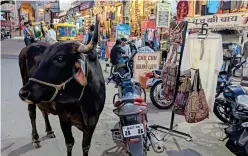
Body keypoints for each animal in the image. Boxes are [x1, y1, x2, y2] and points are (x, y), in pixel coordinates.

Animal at [18, 18, 105, 156]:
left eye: (60, 58)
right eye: (42, 59)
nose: (22, 93)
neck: (83, 101)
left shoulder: (92, 122)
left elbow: (85, 146)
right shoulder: (63, 118)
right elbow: (69, 143)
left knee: (44, 111)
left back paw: (49, 131)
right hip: (28, 89)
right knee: (32, 113)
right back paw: (35, 138)